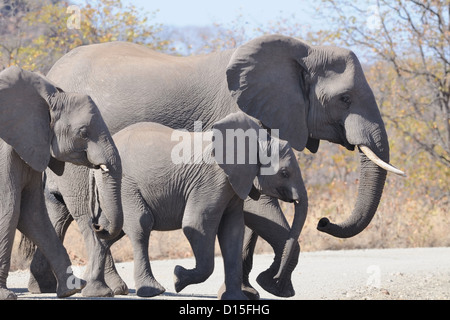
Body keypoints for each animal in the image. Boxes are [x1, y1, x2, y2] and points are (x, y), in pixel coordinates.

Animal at [0, 66, 123, 298]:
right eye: (83, 132)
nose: (98, 225)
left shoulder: (30, 144)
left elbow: (32, 214)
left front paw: (72, 289)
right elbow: (9, 209)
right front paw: (5, 295)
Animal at [105, 111, 308, 298]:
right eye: (284, 173)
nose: (274, 280)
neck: (258, 140)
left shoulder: (233, 186)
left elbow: (232, 231)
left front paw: (235, 298)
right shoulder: (212, 181)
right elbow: (196, 224)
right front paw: (178, 277)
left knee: (108, 231)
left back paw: (108, 288)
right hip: (126, 186)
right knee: (141, 225)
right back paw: (152, 291)